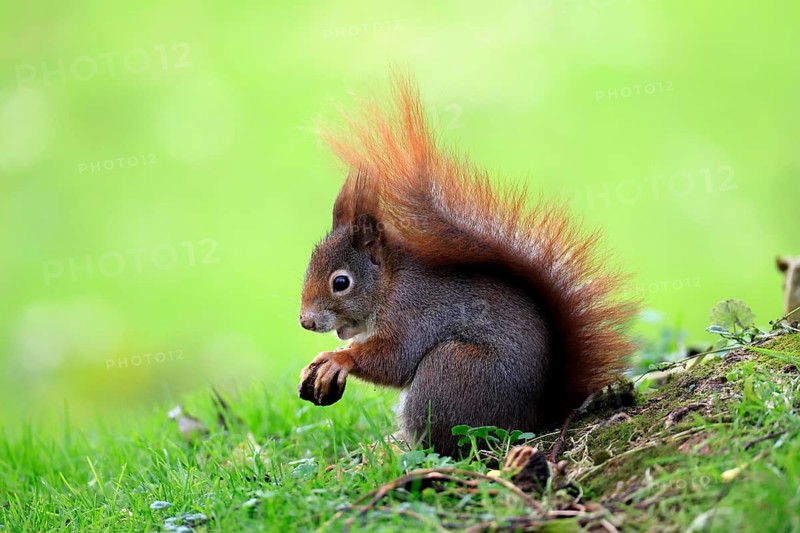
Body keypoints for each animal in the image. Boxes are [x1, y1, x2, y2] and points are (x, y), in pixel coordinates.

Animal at [297, 76, 639, 457]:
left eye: (341, 282)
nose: (306, 321)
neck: (389, 284)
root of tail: (537, 419)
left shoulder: (413, 315)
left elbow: (393, 360)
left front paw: (336, 359)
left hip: (451, 370)